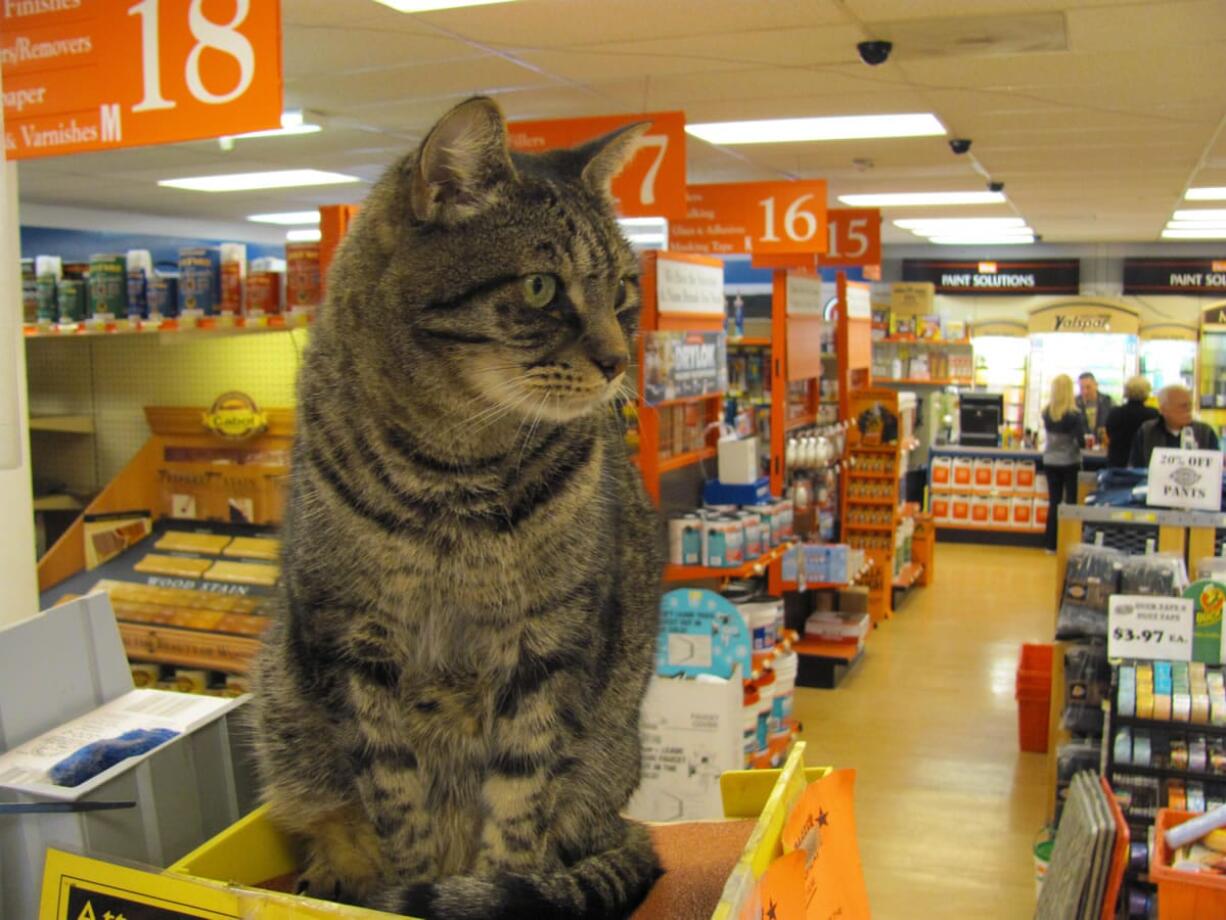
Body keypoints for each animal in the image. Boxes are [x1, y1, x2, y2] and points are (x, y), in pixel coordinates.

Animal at [248, 95, 666, 920]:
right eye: (541, 289)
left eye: (623, 294)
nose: (617, 363)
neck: (456, 464)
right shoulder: (356, 639)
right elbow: (393, 794)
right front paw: (406, 884)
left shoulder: (548, 641)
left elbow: (522, 799)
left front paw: (489, 882)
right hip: (283, 714)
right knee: (326, 807)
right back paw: (338, 873)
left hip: (607, 758)